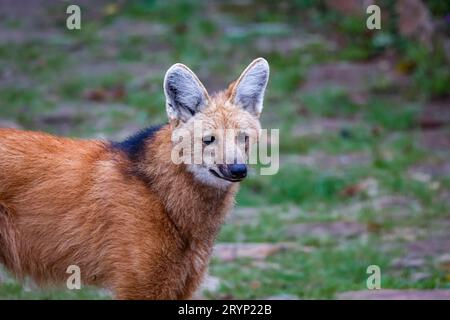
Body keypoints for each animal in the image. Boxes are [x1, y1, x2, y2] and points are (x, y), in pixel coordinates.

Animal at [0, 58, 268, 300]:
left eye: (243, 138)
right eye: (209, 139)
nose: (238, 170)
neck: (163, 197)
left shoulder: (181, 283)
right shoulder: (141, 285)